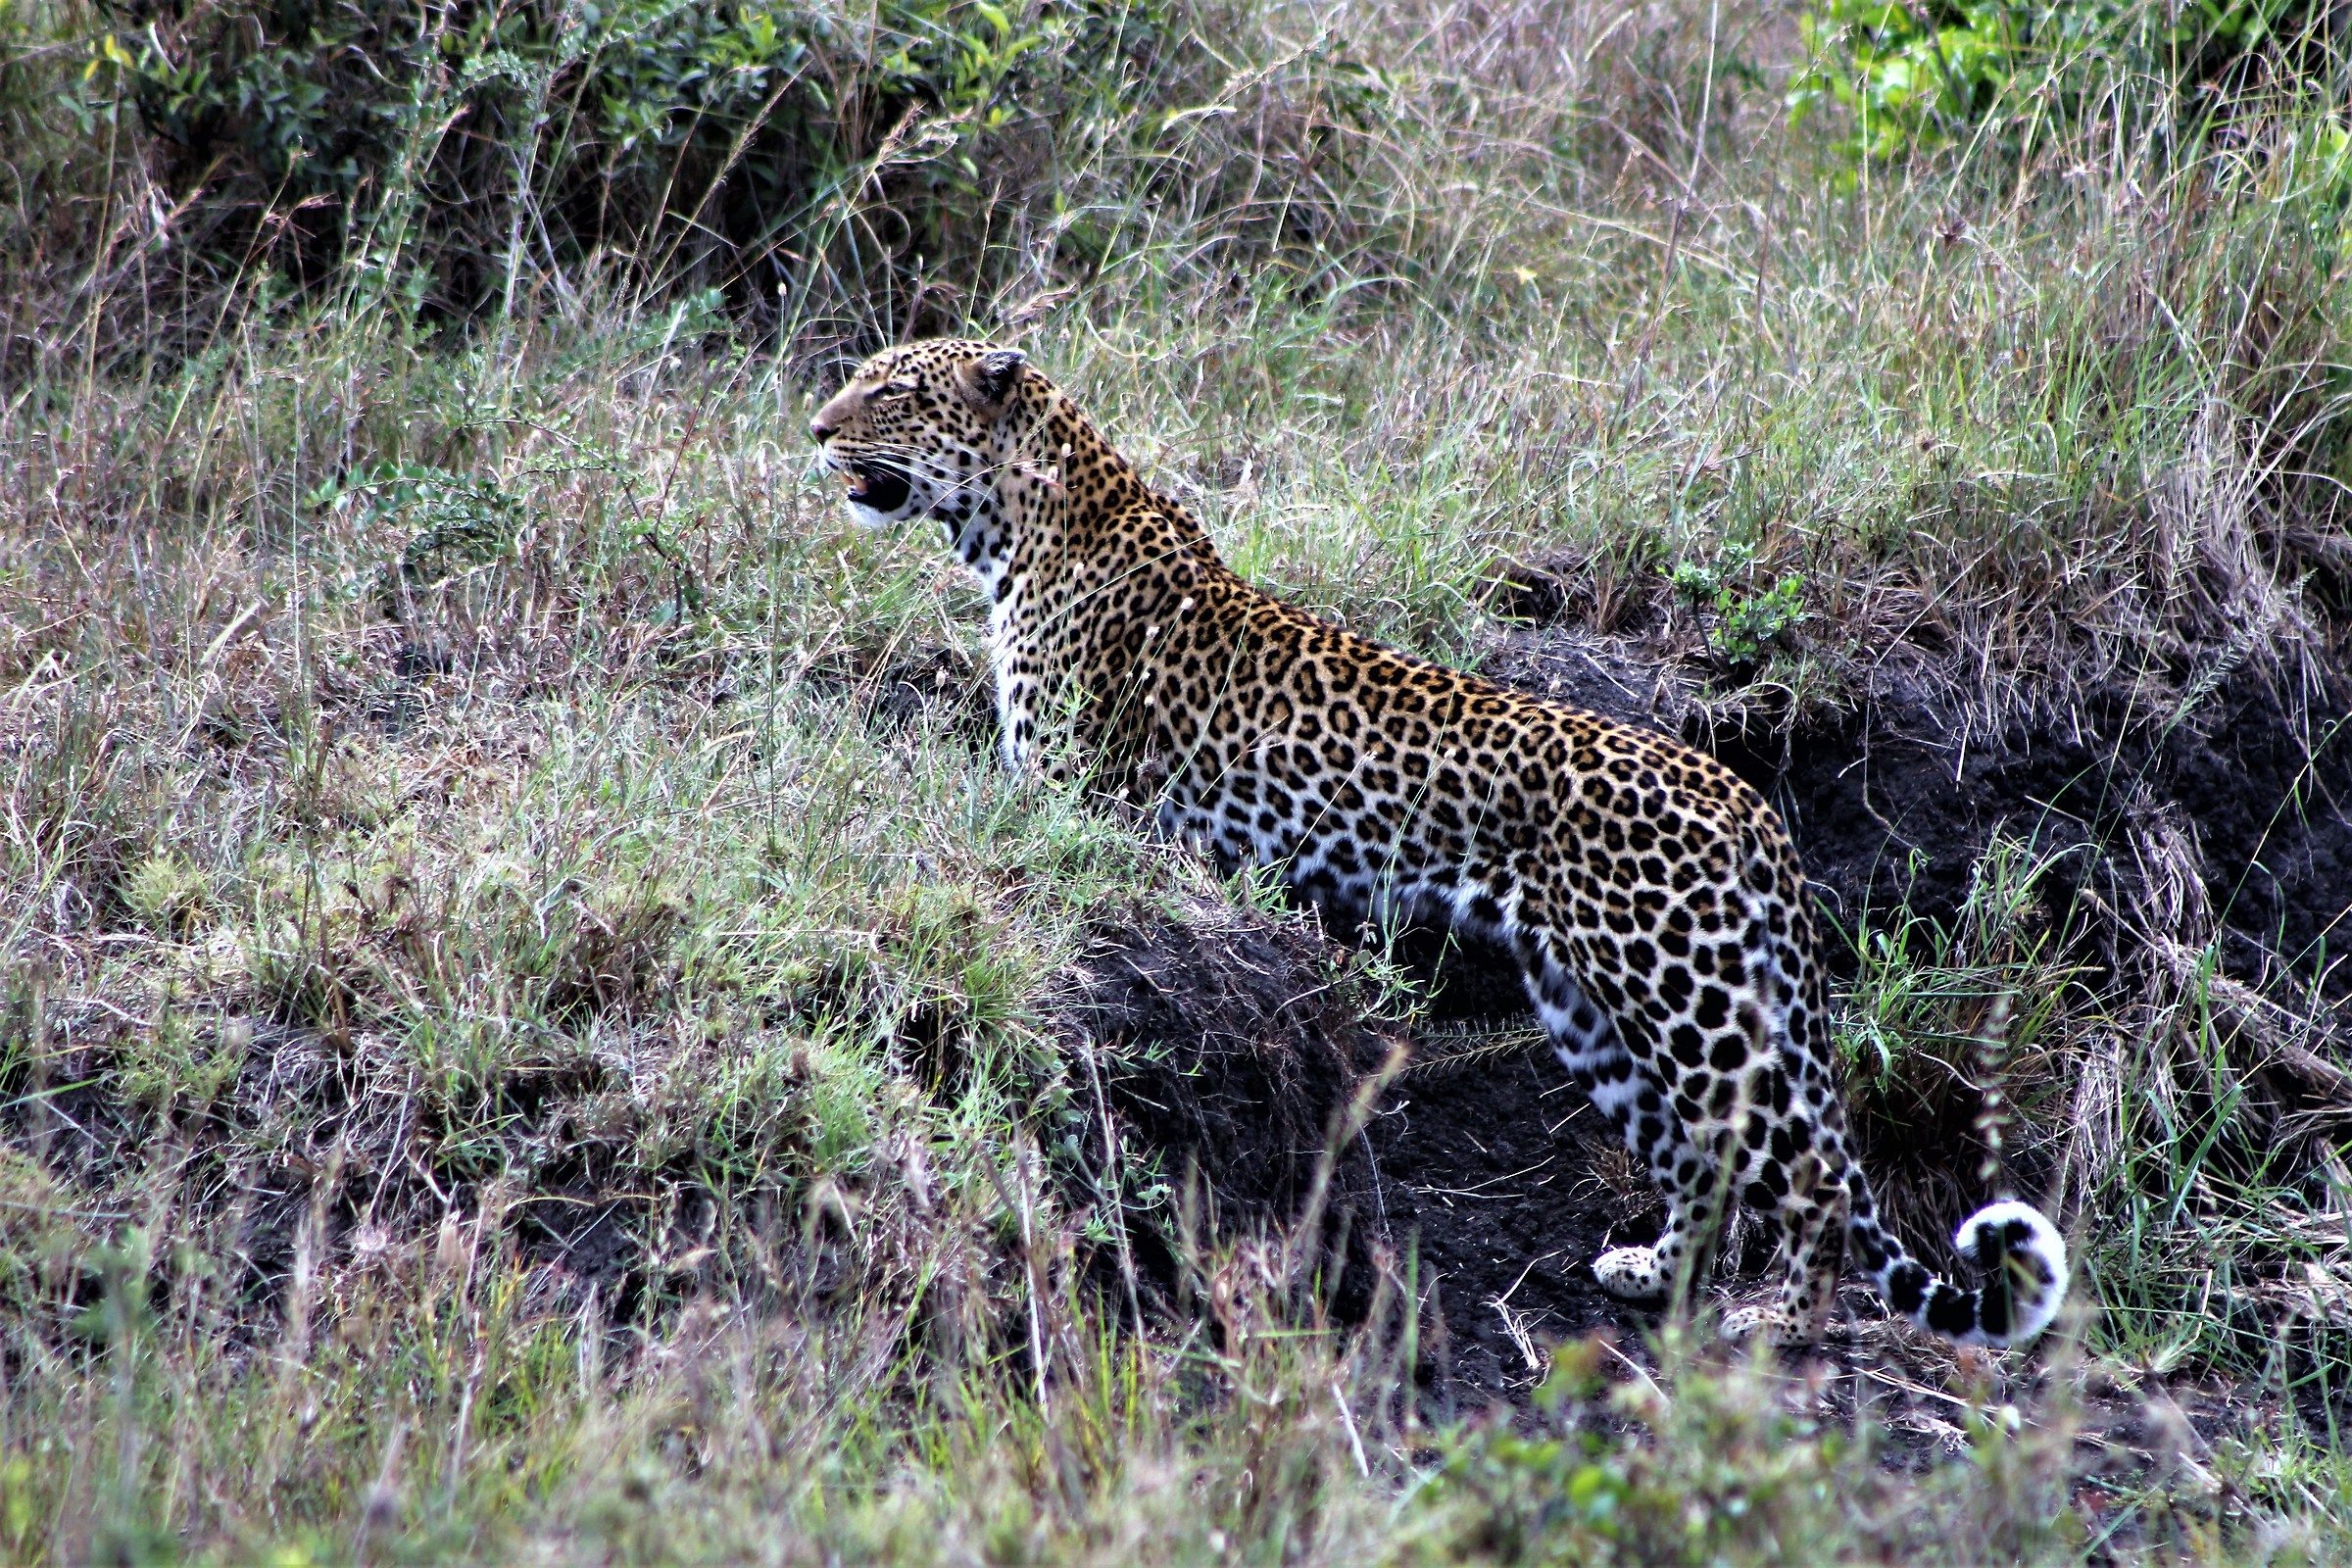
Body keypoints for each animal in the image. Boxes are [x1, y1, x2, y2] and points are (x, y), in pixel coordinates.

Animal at [810, 336, 2070, 1349]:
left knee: (1798, 1173)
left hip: (1690, 1004)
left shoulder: (1070, 792)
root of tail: (1746, 801)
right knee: (1698, 1160)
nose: (816, 428)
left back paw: (1781, 1323)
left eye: (893, 391)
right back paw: (1652, 1273)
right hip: (1589, 1006)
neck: (1021, 523)